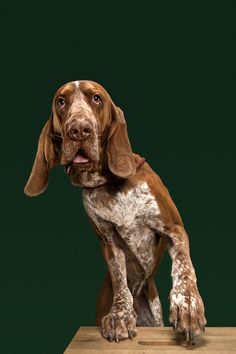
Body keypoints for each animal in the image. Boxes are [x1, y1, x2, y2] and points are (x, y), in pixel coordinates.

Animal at [24, 79, 206, 346]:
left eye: (96, 98)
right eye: (61, 101)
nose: (79, 129)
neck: (108, 185)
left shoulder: (174, 229)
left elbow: (184, 269)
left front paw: (188, 306)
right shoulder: (110, 243)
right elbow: (120, 281)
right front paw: (120, 315)